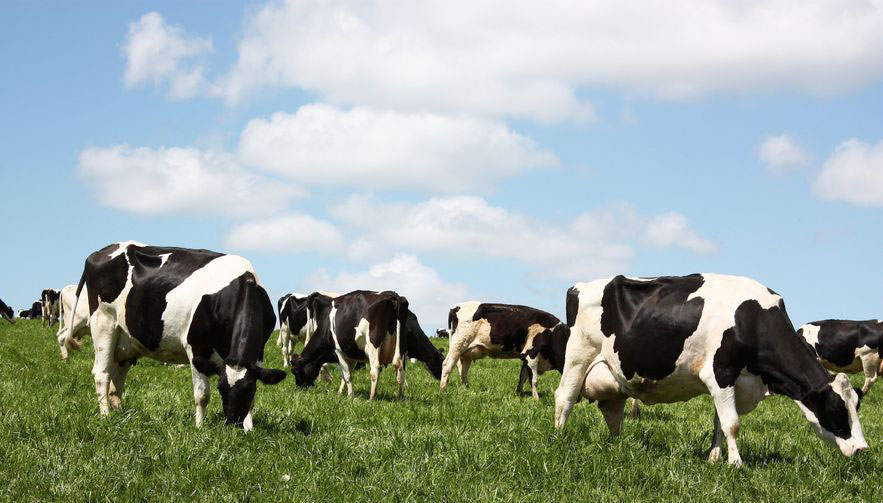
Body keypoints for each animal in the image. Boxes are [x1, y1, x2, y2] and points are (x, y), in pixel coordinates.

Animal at [64, 241, 286, 430]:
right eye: (221, 388)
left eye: (248, 389)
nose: (232, 424)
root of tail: (99, 252)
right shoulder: (196, 347)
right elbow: (202, 395)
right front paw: (199, 428)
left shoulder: (259, 351)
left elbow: (253, 397)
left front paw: (250, 427)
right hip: (103, 323)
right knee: (102, 374)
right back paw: (106, 416)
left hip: (126, 339)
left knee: (117, 380)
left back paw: (121, 415)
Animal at [440, 302, 569, 400]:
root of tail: (456, 307)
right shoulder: (531, 354)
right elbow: (533, 379)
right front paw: (536, 399)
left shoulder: (525, 357)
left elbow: (522, 377)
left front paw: (519, 393)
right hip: (459, 344)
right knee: (447, 364)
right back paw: (443, 389)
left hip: (467, 351)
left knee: (463, 369)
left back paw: (466, 388)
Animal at [555, 274, 867, 467]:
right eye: (836, 409)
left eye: (856, 406)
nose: (863, 449)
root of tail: (579, 286)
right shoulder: (720, 372)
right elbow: (732, 423)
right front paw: (736, 464)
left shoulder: (735, 383)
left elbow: (719, 421)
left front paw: (715, 458)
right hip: (578, 355)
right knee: (564, 398)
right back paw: (558, 439)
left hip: (614, 375)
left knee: (612, 411)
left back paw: (617, 445)